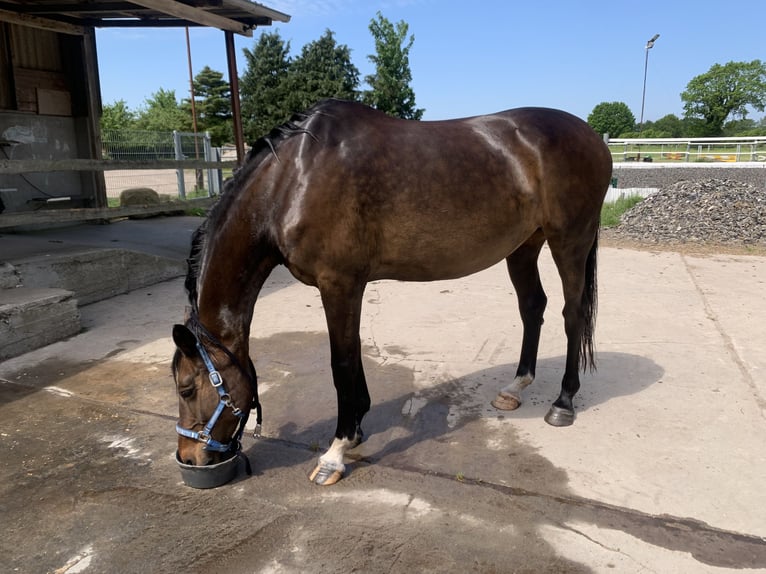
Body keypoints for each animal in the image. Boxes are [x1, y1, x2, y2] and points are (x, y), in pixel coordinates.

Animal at [172, 98, 612, 486]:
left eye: (186, 388)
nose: (189, 457)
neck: (292, 180)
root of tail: (594, 136)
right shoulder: (349, 286)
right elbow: (354, 353)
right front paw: (357, 429)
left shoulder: (338, 284)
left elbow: (341, 363)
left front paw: (335, 453)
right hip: (524, 246)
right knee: (532, 306)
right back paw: (515, 387)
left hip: (569, 241)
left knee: (572, 314)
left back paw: (563, 403)